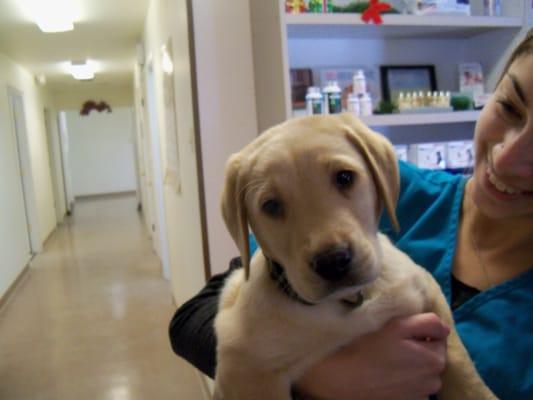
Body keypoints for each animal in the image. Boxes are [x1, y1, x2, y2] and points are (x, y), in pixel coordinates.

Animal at [214, 113, 496, 400]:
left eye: (344, 177)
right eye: (271, 206)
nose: (332, 261)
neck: (352, 301)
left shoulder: (429, 292)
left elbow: (460, 365)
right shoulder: (244, 368)